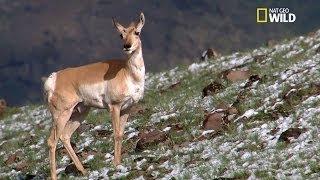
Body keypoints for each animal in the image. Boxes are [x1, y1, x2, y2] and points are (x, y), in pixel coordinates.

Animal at [43, 12, 146, 179]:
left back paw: (83, 170)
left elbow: (121, 133)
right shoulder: (114, 107)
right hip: (61, 114)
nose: (127, 46)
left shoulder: (127, 109)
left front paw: (119, 163)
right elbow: (116, 134)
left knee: (65, 136)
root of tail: (55, 77)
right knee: (52, 141)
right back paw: (55, 176)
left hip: (80, 113)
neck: (127, 72)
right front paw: (116, 164)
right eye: (121, 35)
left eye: (137, 32)